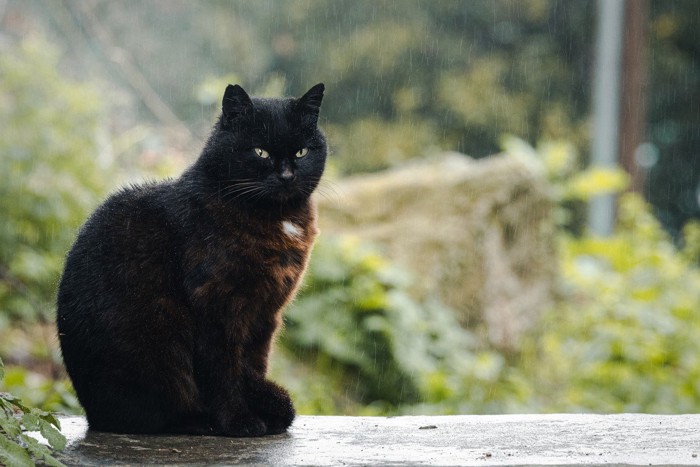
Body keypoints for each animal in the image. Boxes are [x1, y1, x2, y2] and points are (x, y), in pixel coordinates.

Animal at [56, 82, 326, 436]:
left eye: (301, 153)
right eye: (260, 152)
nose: (286, 176)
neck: (275, 220)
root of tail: (92, 415)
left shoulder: (265, 314)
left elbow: (254, 365)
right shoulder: (216, 307)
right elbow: (224, 373)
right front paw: (240, 422)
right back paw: (201, 421)